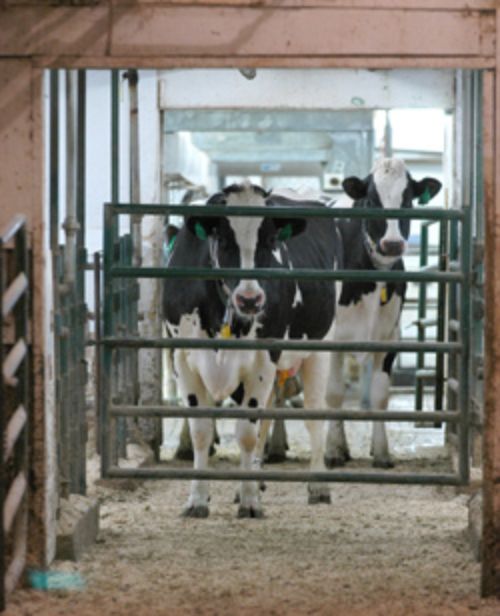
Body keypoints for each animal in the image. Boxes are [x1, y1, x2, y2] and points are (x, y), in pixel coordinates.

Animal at [164, 180, 340, 516]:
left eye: (270, 240)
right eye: (223, 239)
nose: (250, 300)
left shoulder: (262, 360)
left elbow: (246, 432)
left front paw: (248, 502)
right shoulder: (184, 360)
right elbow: (201, 431)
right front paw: (198, 499)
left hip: (320, 349)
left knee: (314, 414)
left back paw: (319, 486)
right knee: (268, 415)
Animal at [324, 158, 442, 466]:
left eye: (408, 199)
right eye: (372, 200)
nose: (392, 244)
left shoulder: (389, 336)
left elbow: (379, 395)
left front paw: (381, 452)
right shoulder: (332, 340)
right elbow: (333, 393)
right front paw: (331, 451)